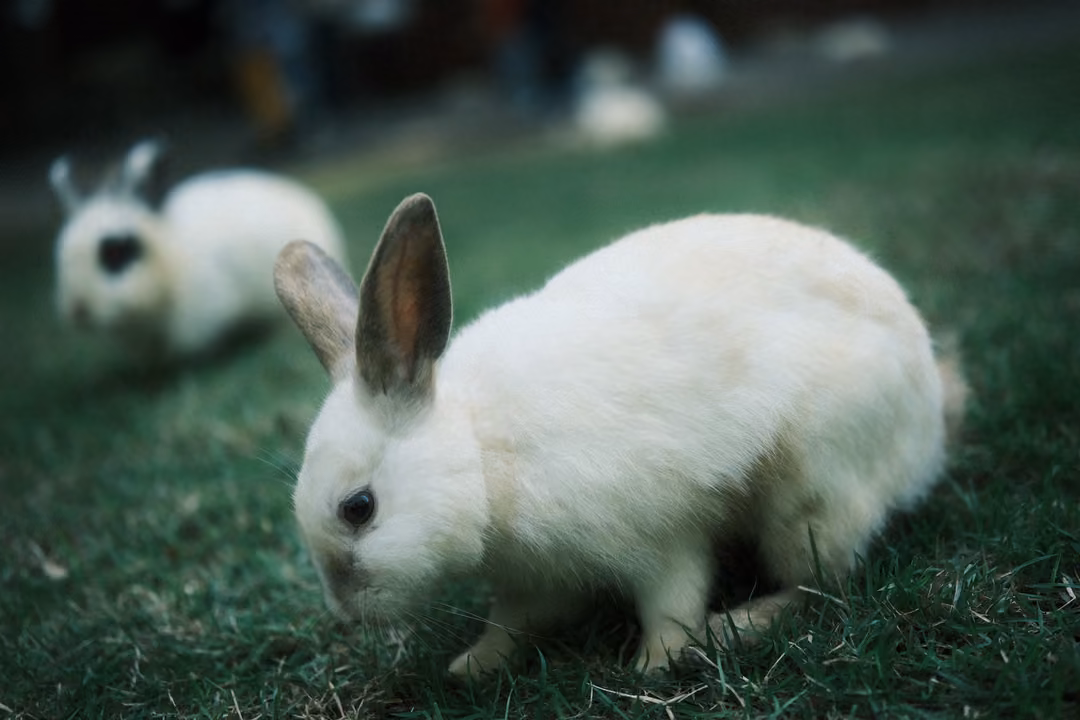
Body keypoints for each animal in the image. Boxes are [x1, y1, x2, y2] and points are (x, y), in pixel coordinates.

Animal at [274, 193, 966, 679]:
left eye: (359, 508)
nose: (344, 609)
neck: (482, 451)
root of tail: (928, 419)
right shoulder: (533, 578)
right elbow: (514, 623)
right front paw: (472, 665)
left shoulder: (664, 536)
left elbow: (672, 604)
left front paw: (653, 667)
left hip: (808, 497)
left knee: (823, 581)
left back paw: (740, 624)